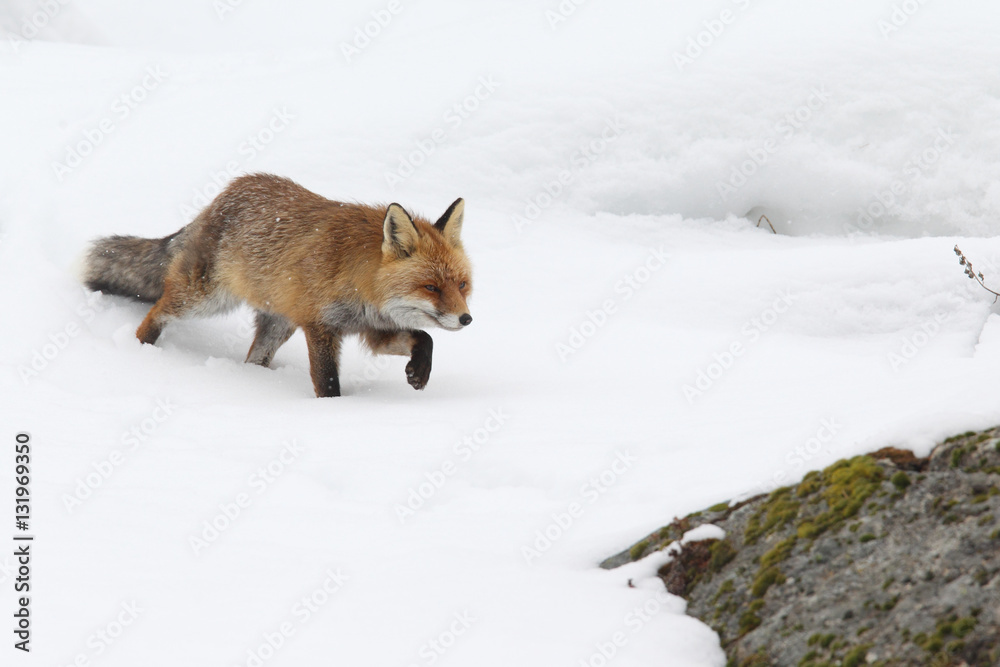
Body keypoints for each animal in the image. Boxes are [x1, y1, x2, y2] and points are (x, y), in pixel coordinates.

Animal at [82, 173, 473, 397]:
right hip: (204, 299)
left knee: (253, 360)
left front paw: (419, 372)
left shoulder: (372, 329)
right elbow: (328, 382)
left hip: (277, 325)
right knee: (157, 311)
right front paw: (336, 412)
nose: (466, 319)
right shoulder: (320, 326)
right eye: (431, 287)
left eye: (462, 285)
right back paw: (140, 352)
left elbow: (425, 337)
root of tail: (227, 192)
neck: (362, 286)